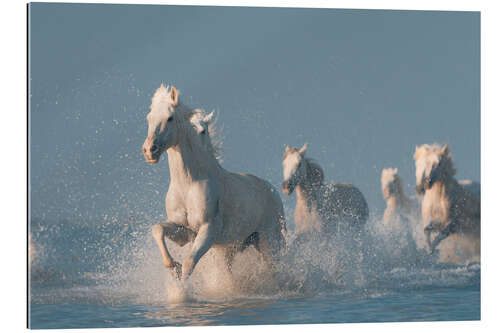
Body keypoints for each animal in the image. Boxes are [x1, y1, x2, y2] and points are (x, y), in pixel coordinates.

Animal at [143, 84, 288, 282]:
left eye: (170, 118)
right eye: (149, 117)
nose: (150, 151)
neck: (189, 184)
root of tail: (272, 190)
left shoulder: (207, 230)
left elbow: (189, 263)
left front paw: (181, 283)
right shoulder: (185, 231)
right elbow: (158, 229)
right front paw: (172, 266)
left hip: (269, 241)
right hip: (233, 247)